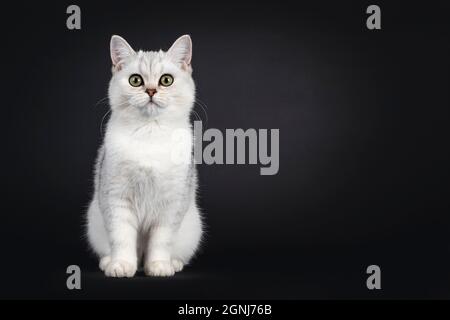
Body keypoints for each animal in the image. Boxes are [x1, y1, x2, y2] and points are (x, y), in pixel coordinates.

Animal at [85, 33, 204, 276]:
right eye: (135, 80)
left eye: (166, 80)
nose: (150, 91)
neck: (150, 133)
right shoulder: (116, 197)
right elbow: (121, 237)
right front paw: (121, 265)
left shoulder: (172, 203)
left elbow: (161, 241)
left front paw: (158, 266)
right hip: (94, 218)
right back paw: (110, 261)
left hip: (193, 226)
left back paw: (172, 263)